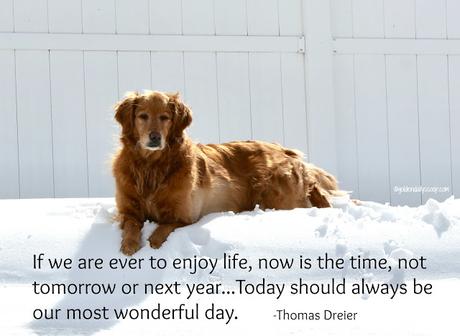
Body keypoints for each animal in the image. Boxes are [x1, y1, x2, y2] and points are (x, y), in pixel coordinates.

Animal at [113, 90, 340, 256]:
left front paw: (153, 242)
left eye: (165, 118)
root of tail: (283, 149)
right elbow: (132, 225)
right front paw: (129, 245)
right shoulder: (128, 210)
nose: (155, 138)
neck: (151, 166)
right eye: (143, 116)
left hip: (277, 195)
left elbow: (162, 228)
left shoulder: (185, 216)